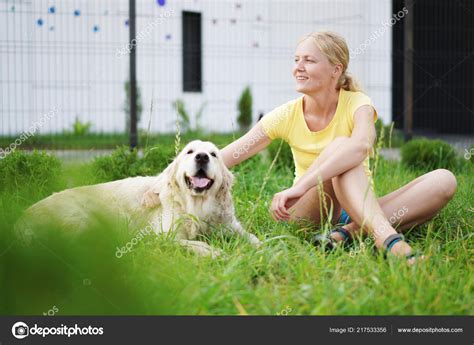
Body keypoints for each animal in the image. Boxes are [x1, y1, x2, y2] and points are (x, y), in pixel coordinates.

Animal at [16, 139, 262, 255]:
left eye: (213, 154)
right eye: (190, 152)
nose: (202, 157)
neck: (196, 206)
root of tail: (22, 219)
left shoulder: (230, 226)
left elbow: (253, 238)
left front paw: (266, 248)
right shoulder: (164, 236)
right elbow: (189, 243)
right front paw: (211, 251)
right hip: (83, 220)